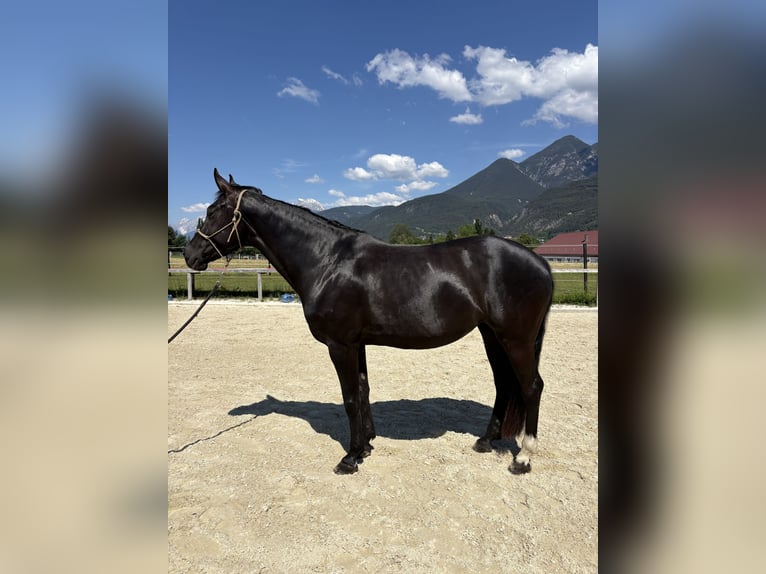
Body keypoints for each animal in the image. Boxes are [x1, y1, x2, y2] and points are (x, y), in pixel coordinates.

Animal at [184, 169, 554, 475]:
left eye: (212, 211)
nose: (190, 255)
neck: (327, 260)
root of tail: (540, 262)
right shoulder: (357, 343)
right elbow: (362, 391)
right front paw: (365, 447)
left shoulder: (340, 345)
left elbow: (349, 398)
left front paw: (349, 458)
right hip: (492, 335)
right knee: (504, 384)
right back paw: (486, 441)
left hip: (516, 339)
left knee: (531, 386)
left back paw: (523, 457)